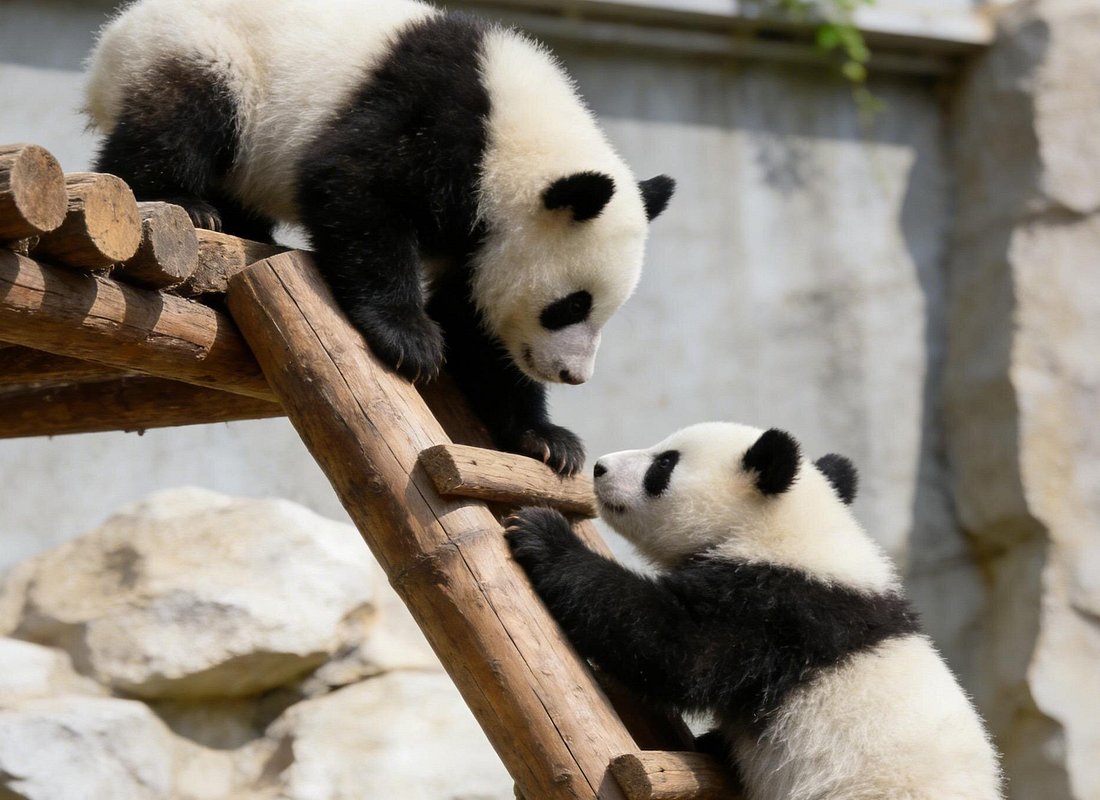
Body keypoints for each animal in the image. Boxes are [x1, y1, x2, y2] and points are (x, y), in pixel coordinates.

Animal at [83, 0, 675, 475]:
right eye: (570, 306)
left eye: (603, 312)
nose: (573, 375)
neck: (515, 139)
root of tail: (112, 38)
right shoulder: (432, 118)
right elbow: (354, 186)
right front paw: (411, 340)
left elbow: (476, 327)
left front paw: (547, 440)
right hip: (204, 53)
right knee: (178, 120)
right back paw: (188, 203)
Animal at [505, 422, 1004, 800]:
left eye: (664, 464)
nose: (600, 467)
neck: (786, 526)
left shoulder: (778, 611)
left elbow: (678, 648)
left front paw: (543, 534)